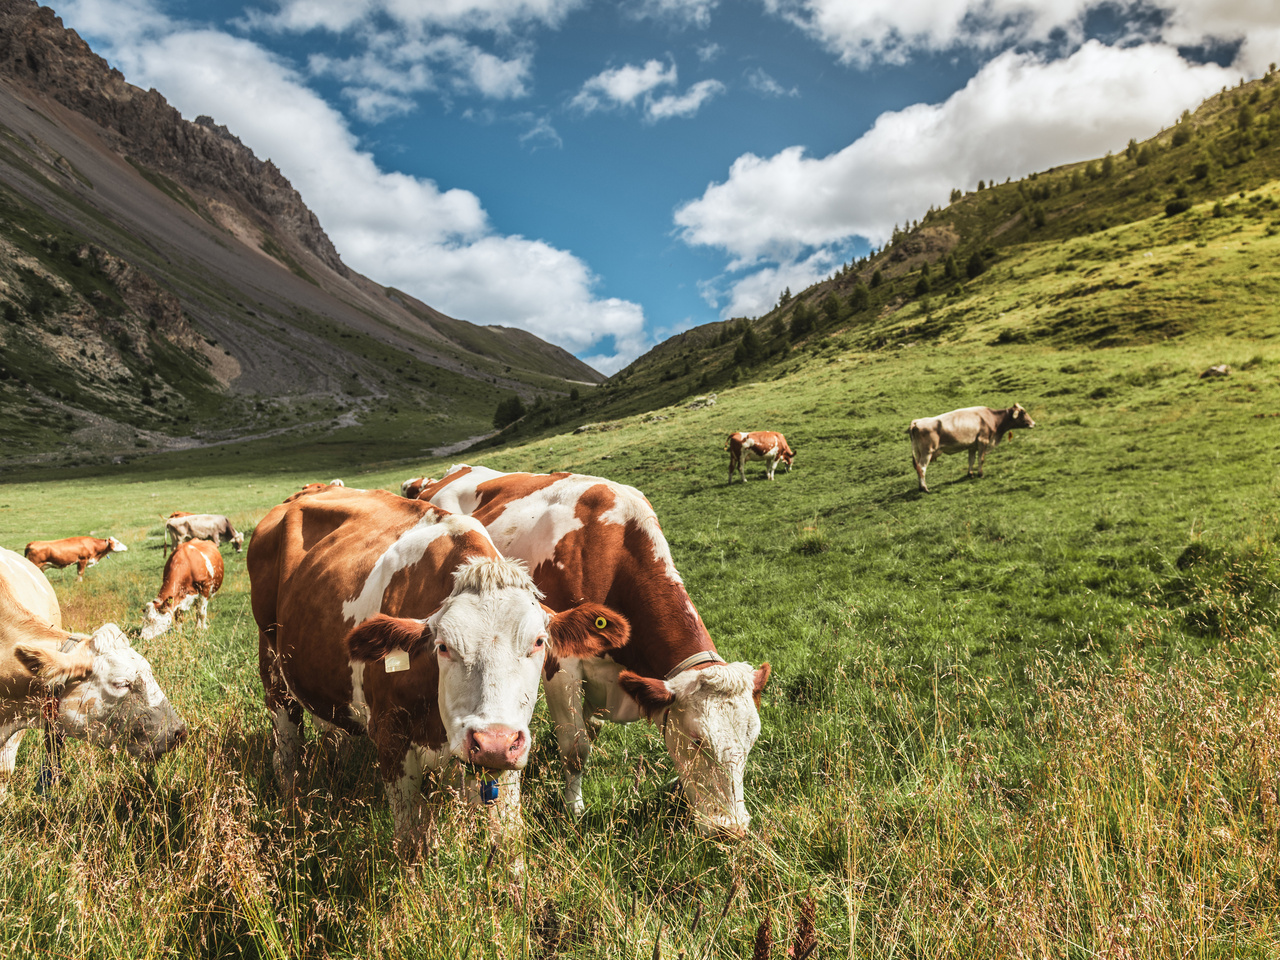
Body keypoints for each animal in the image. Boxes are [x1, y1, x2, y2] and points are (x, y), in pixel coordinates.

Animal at [246, 487, 629, 849]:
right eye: (443, 646)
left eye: (538, 642)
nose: (492, 742)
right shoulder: (391, 740)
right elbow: (409, 844)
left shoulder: (509, 750)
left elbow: (508, 841)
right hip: (273, 667)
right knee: (287, 753)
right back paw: (291, 809)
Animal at [420, 465, 772, 837]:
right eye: (696, 739)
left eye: (752, 740)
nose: (731, 829)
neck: (615, 551)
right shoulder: (562, 666)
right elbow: (575, 747)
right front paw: (573, 809)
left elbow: (591, 730)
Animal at [908, 403, 1036, 492]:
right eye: (1024, 412)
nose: (1034, 423)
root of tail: (916, 422)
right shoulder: (983, 441)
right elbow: (981, 459)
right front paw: (980, 474)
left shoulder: (972, 445)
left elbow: (971, 460)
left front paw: (970, 474)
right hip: (927, 452)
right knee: (922, 468)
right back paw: (925, 488)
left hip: (919, 452)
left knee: (918, 468)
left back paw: (920, 487)